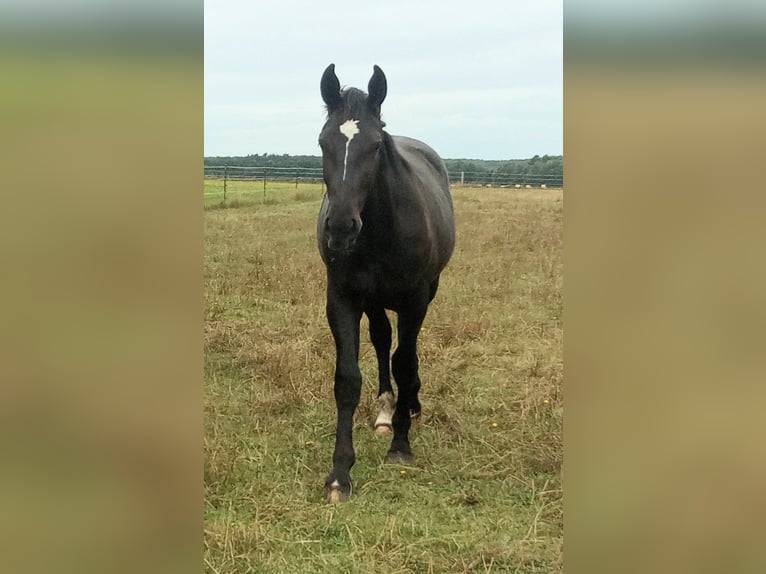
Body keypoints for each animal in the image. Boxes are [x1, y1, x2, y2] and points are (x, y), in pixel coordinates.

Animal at [318, 64, 456, 504]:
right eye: (323, 142)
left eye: (376, 145)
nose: (341, 228)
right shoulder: (342, 298)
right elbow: (348, 378)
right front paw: (340, 473)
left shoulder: (415, 299)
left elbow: (405, 361)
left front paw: (400, 446)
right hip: (374, 300)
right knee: (381, 340)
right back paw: (385, 411)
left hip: (426, 292)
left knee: (402, 352)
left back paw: (408, 406)